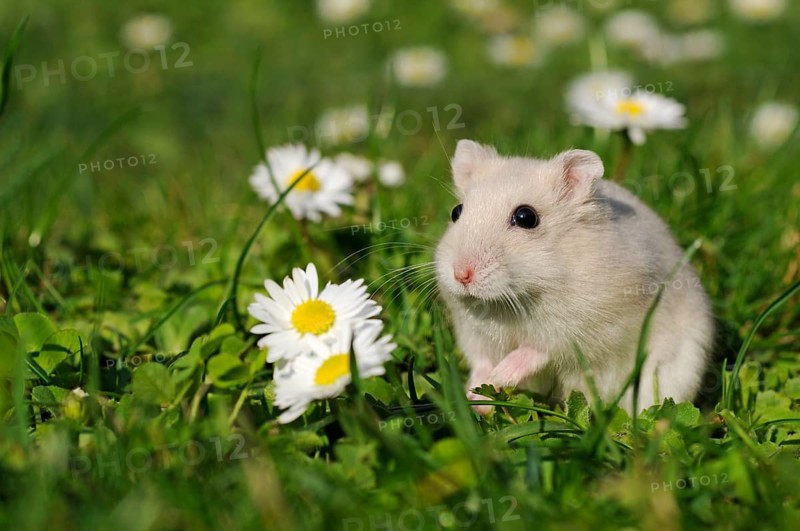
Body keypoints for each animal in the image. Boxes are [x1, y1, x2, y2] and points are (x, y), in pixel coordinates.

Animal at [435, 140, 714, 414]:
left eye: (526, 217)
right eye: (456, 212)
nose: (461, 274)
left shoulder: (586, 330)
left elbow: (538, 350)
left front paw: (501, 374)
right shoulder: (473, 332)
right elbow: (480, 360)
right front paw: (476, 396)